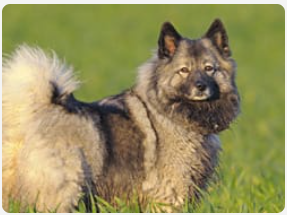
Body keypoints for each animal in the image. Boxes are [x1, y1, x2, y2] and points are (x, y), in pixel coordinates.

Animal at [2, 19, 241, 212]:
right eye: (184, 70)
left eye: (209, 68)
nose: (201, 86)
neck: (170, 112)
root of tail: (33, 112)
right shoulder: (170, 194)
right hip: (62, 192)